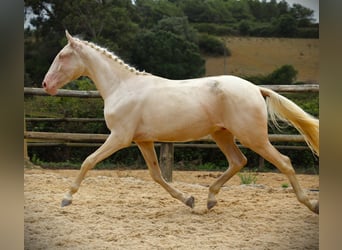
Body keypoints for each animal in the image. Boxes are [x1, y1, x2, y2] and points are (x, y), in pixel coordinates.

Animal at [42, 31, 318, 214]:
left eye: (62, 56)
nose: (46, 84)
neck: (122, 87)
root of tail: (255, 89)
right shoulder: (142, 140)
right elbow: (156, 175)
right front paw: (188, 200)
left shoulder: (119, 137)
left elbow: (88, 161)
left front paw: (66, 198)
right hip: (222, 134)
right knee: (238, 161)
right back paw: (209, 201)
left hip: (253, 137)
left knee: (284, 162)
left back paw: (311, 204)